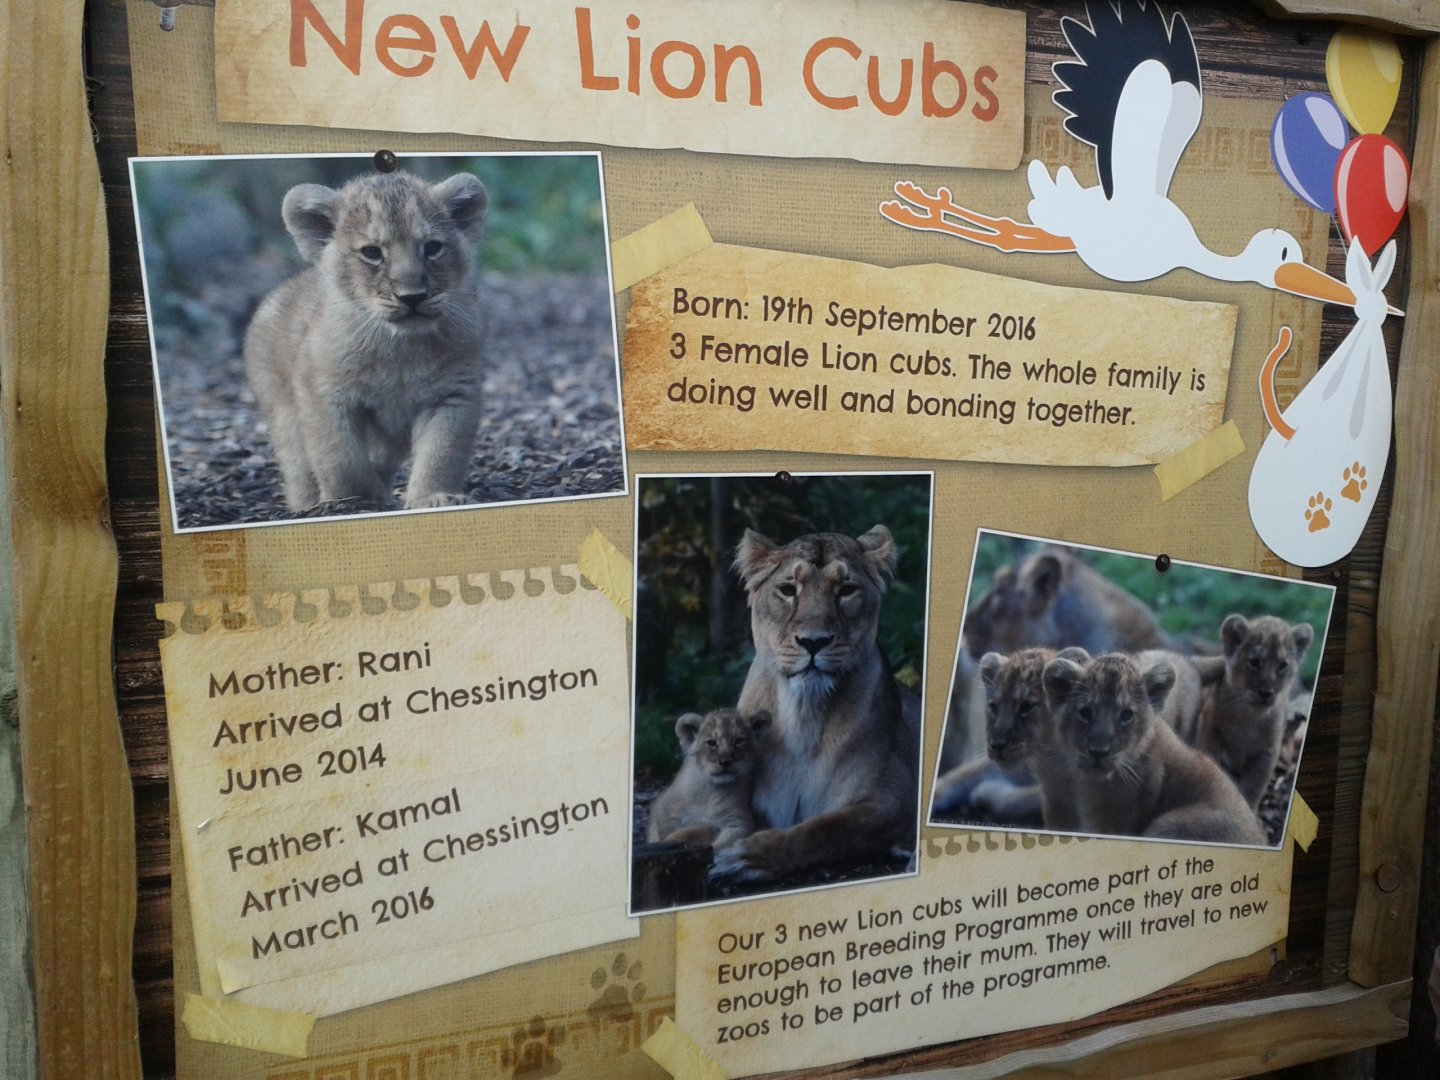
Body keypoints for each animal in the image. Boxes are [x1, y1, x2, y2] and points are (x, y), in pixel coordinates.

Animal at [709, 525, 921, 882]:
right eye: (787, 590)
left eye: (847, 590)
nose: (813, 641)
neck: (804, 716)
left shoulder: (896, 799)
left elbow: (826, 828)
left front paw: (750, 858)